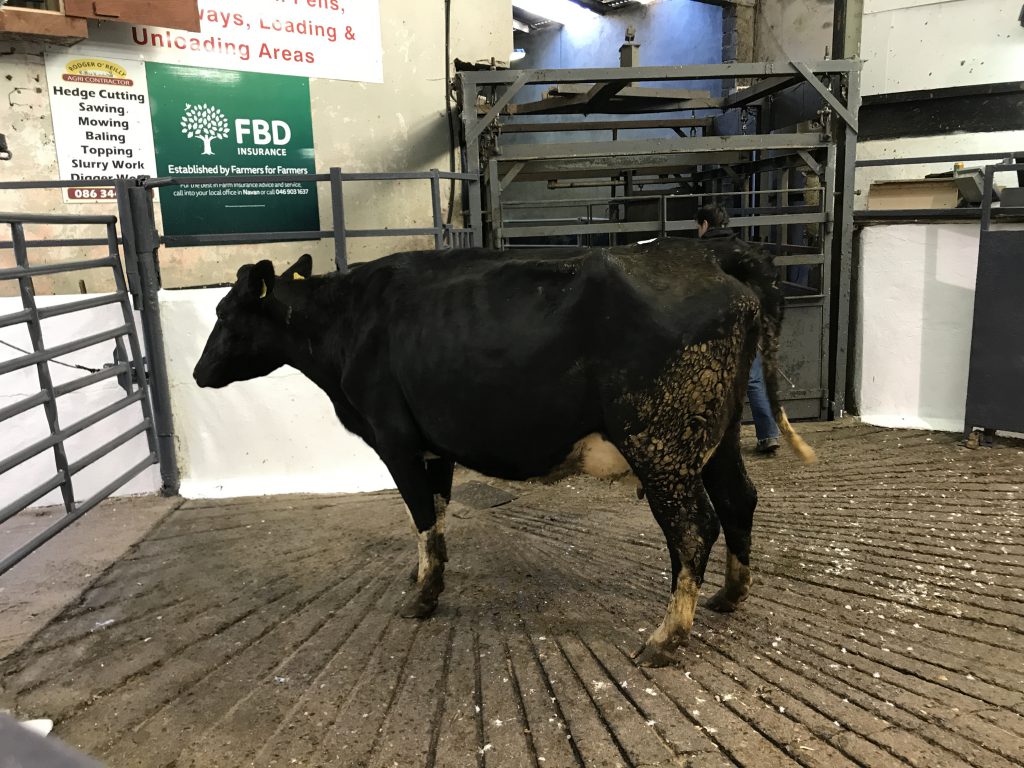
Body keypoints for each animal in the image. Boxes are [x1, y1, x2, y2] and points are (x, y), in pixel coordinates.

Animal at [193, 238, 815, 667]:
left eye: (225, 314)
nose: (198, 373)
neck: (347, 321)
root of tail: (708, 253)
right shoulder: (434, 446)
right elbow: (437, 516)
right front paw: (427, 576)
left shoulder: (394, 439)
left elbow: (421, 515)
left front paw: (422, 598)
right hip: (714, 435)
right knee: (738, 500)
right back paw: (729, 596)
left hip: (657, 441)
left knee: (692, 528)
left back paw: (665, 639)